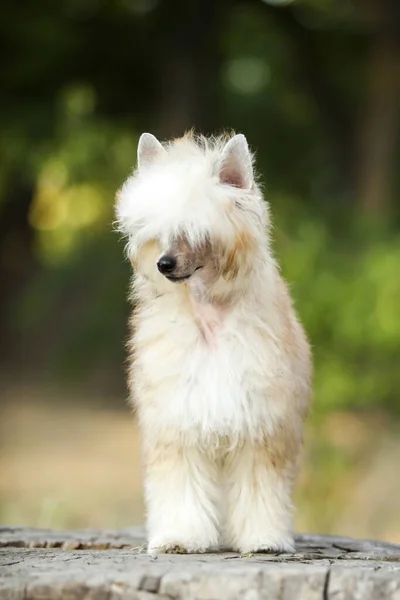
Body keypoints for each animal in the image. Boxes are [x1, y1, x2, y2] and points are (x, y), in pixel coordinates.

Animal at [115, 130, 312, 552]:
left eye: (196, 232)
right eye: (160, 233)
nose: (164, 264)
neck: (209, 319)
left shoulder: (259, 427)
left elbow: (259, 489)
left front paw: (264, 538)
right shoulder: (179, 425)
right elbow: (181, 488)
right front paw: (179, 537)